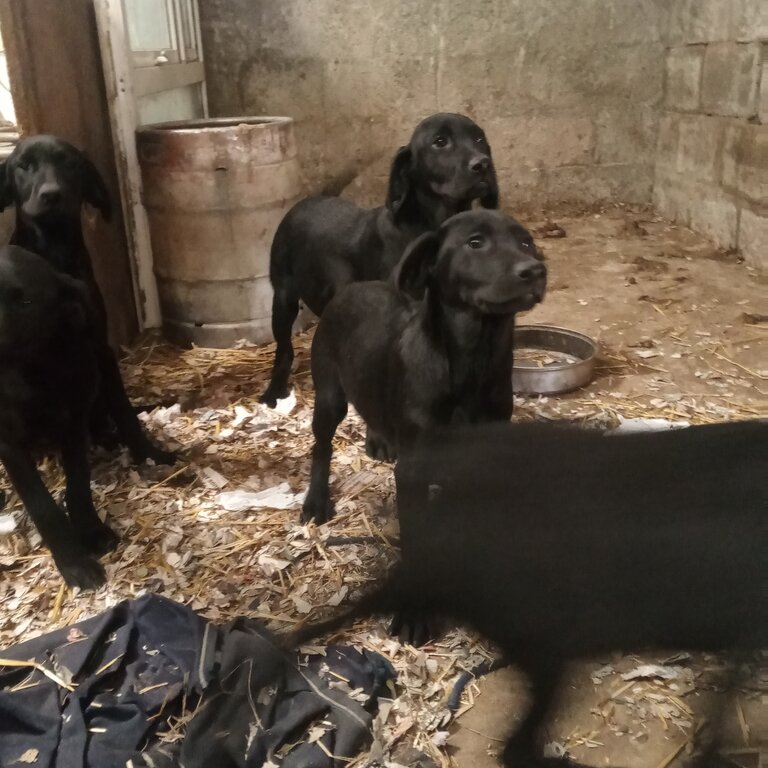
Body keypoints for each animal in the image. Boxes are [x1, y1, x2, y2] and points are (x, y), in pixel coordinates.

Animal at [0, 135, 174, 464]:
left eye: (69, 163)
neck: (54, 250)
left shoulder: (99, 347)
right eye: (23, 165)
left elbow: (123, 409)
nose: (52, 194)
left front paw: (148, 452)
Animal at [0, 246, 118, 588]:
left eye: (26, 302)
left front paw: (92, 531)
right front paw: (74, 562)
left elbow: (78, 486)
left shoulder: (74, 425)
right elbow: (43, 507)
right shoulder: (9, 444)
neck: (31, 373)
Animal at [260, 112, 498, 412]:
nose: (483, 164)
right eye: (440, 142)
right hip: (283, 298)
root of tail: (302, 203)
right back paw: (273, 392)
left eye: (479, 139)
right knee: (284, 349)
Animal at [300, 210, 544, 520]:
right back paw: (316, 501)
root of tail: (350, 288)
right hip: (329, 397)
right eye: (475, 242)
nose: (535, 271)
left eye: (526, 243)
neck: (473, 358)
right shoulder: (414, 467)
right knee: (321, 447)